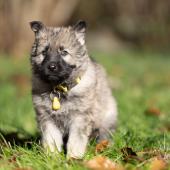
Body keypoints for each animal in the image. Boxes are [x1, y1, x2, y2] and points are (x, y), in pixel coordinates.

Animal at [29, 20, 117, 159]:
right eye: (44, 52)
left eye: (64, 52)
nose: (51, 67)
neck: (60, 88)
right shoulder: (47, 118)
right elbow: (51, 139)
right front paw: (52, 157)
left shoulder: (80, 117)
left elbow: (76, 140)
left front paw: (74, 158)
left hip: (106, 118)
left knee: (105, 134)